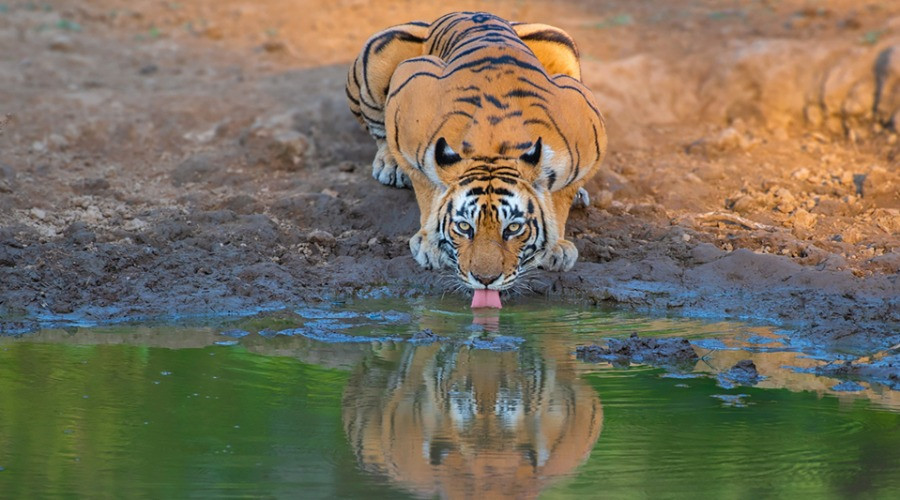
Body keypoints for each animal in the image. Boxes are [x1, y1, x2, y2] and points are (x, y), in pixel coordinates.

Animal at [346, 12, 607, 291]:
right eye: (464, 226)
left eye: (513, 228)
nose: (485, 280)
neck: (494, 146)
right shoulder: (406, 98)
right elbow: (425, 187)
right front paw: (430, 245)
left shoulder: (589, 127)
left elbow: (561, 199)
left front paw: (556, 246)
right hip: (379, 51)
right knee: (377, 130)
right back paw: (390, 167)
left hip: (559, 40)